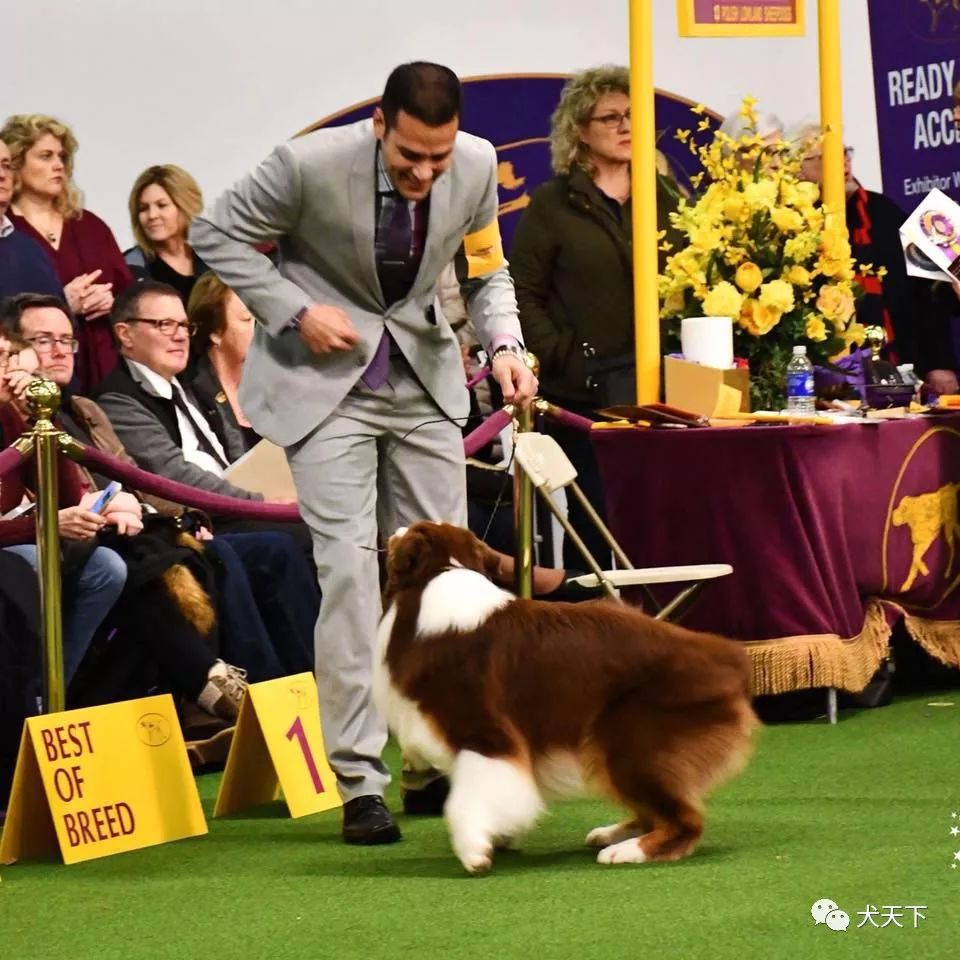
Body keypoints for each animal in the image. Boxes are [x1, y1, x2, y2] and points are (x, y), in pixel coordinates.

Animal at [376, 520, 756, 872]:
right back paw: (611, 833)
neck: (442, 572)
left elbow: (464, 799)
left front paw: (475, 851)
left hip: (633, 738)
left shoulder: (483, 732)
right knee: (658, 812)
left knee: (685, 821)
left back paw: (625, 851)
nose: (392, 530)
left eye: (410, 530)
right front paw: (499, 835)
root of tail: (726, 654)